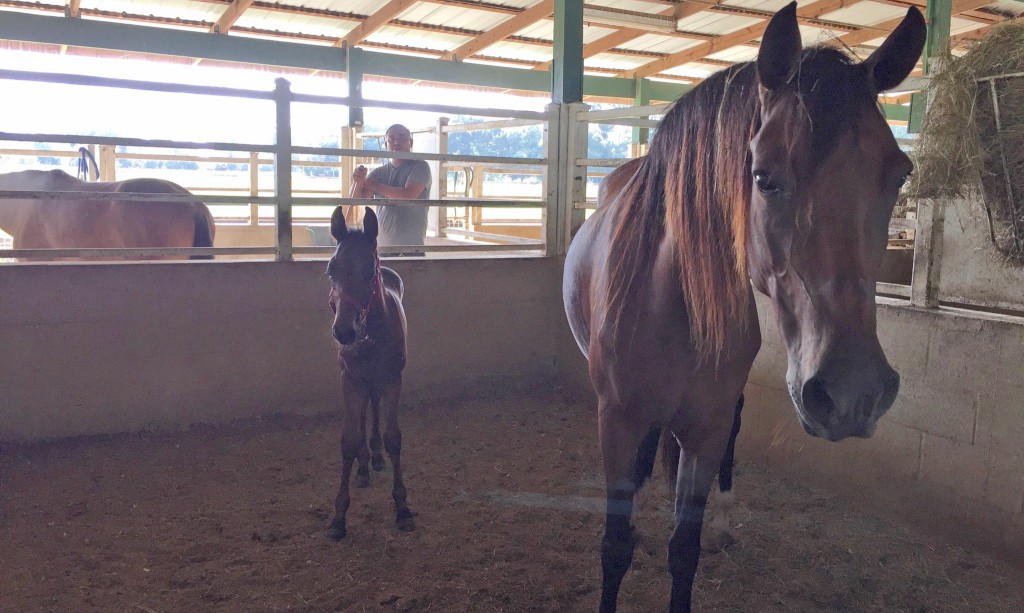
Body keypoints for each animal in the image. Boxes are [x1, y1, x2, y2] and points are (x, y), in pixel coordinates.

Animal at [323, 207, 411, 540]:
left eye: (370, 272)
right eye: (330, 269)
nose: (344, 331)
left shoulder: (393, 379)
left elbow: (393, 437)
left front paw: (403, 508)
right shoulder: (349, 380)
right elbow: (348, 439)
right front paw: (338, 518)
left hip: (377, 380)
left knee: (373, 409)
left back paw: (374, 456)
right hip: (362, 381)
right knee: (363, 415)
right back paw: (362, 466)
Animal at [561, 3, 929, 609]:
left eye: (900, 173)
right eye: (763, 176)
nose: (853, 394)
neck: (669, 307)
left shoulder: (707, 425)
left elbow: (684, 549)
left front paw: (700, 530)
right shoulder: (615, 420)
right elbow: (614, 546)